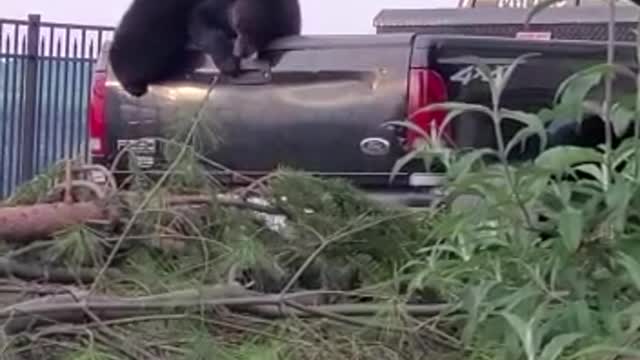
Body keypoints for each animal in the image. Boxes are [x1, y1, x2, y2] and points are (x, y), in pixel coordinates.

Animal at [109, 0, 302, 97]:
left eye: (261, 36)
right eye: (240, 26)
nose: (239, 51)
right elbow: (201, 18)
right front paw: (228, 62)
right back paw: (131, 80)